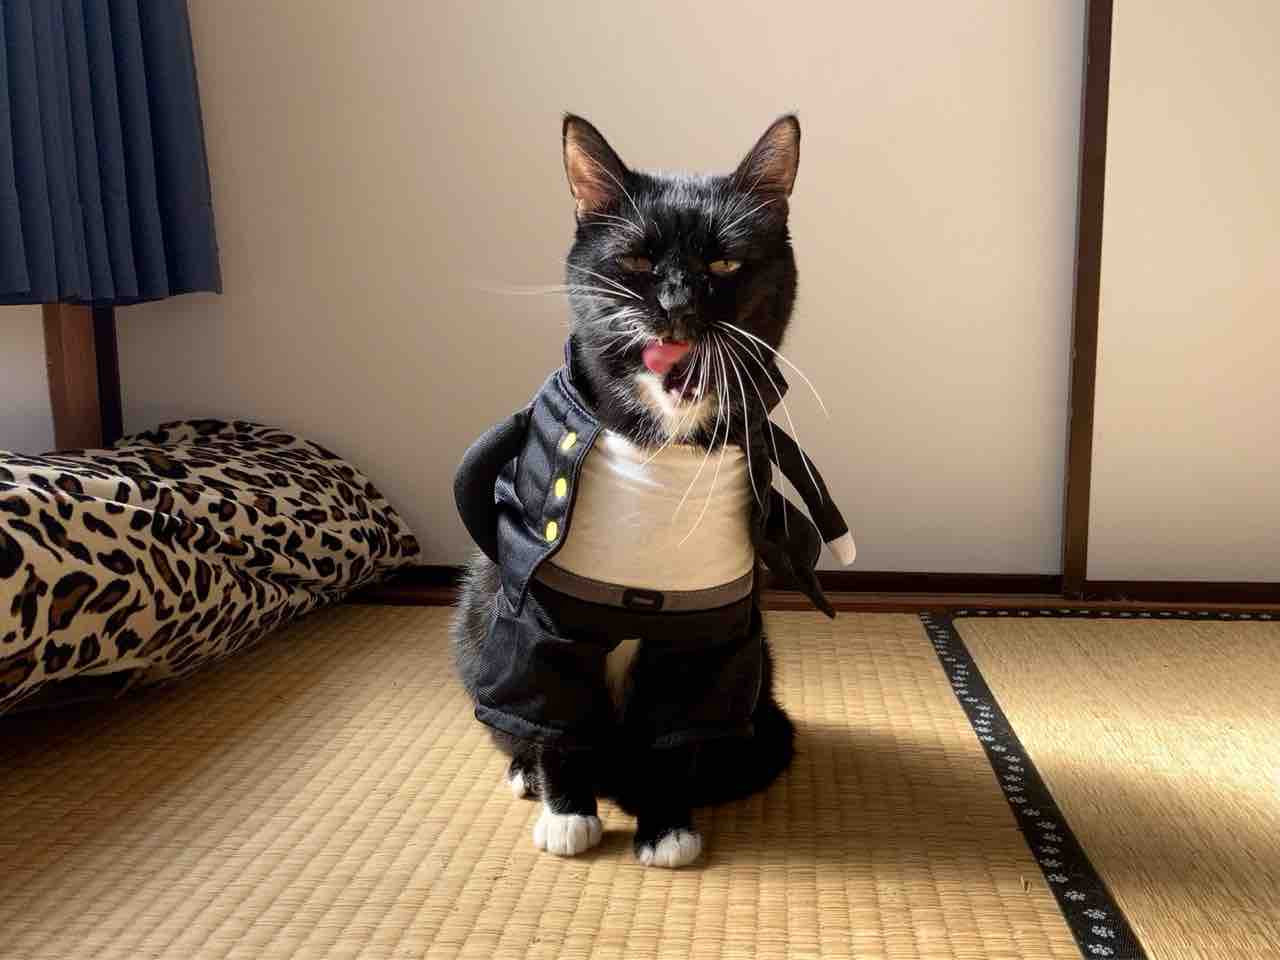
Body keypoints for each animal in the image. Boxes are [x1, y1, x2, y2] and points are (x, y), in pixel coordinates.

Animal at [452, 113, 851, 867]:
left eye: (724, 265)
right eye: (636, 261)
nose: (674, 306)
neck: (660, 445)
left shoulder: (709, 629)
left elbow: (676, 736)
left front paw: (666, 825)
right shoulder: (541, 610)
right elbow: (551, 710)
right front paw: (567, 812)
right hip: (476, 614)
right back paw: (529, 772)